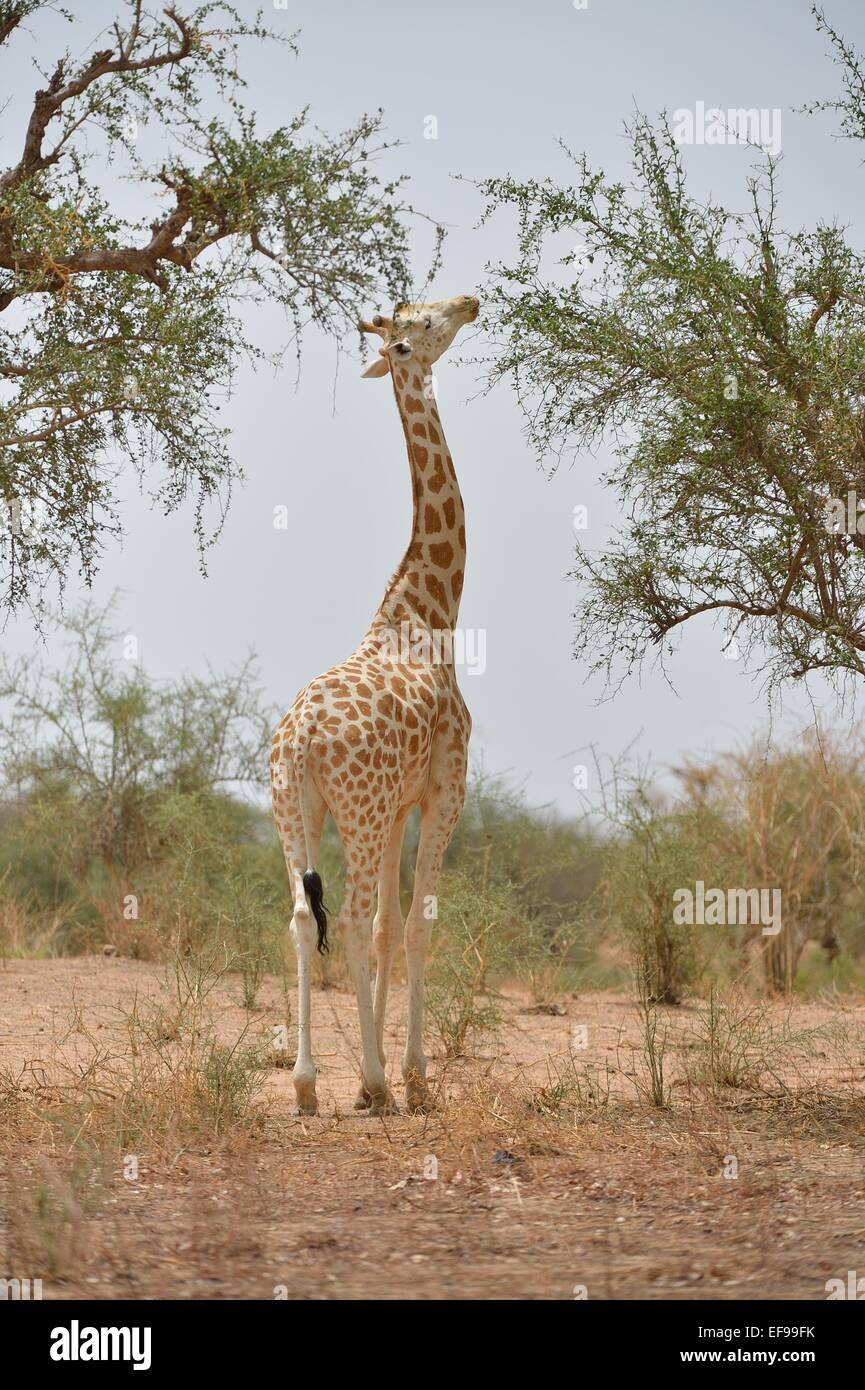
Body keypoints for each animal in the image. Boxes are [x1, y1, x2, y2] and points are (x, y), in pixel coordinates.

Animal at [271, 293, 481, 1117]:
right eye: (421, 324)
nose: (470, 301)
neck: (429, 610)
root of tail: (300, 737)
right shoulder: (444, 789)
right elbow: (415, 924)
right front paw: (411, 1072)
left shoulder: (395, 806)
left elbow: (394, 927)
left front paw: (387, 1065)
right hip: (351, 812)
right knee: (352, 917)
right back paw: (372, 1081)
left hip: (295, 808)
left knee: (304, 917)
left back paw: (305, 1084)